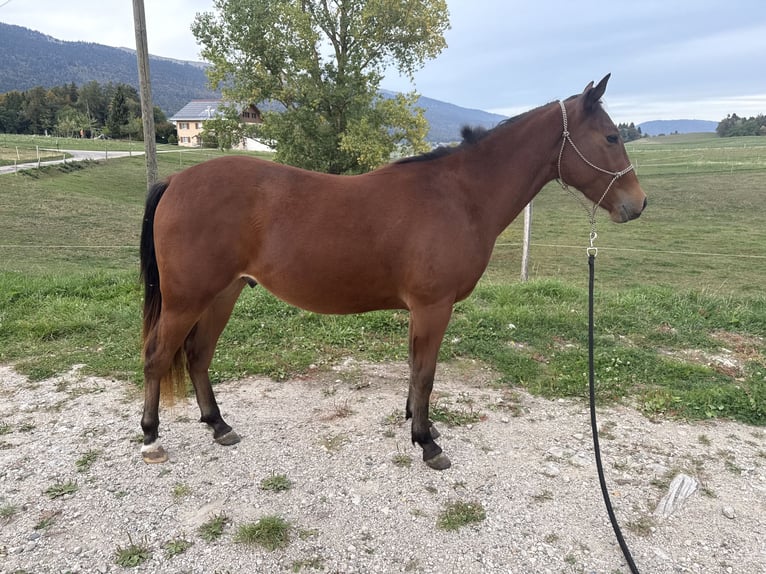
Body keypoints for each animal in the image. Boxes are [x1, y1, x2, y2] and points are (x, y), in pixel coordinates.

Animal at [139, 74, 646, 470]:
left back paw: (219, 425)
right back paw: (151, 438)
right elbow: (425, 373)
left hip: (223, 294)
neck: (460, 196)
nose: (638, 204)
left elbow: (413, 369)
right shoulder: (433, 307)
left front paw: (420, 426)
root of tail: (176, 182)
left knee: (197, 356)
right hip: (187, 300)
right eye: (611, 137)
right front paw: (426, 443)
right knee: (158, 357)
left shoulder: (421, 311)